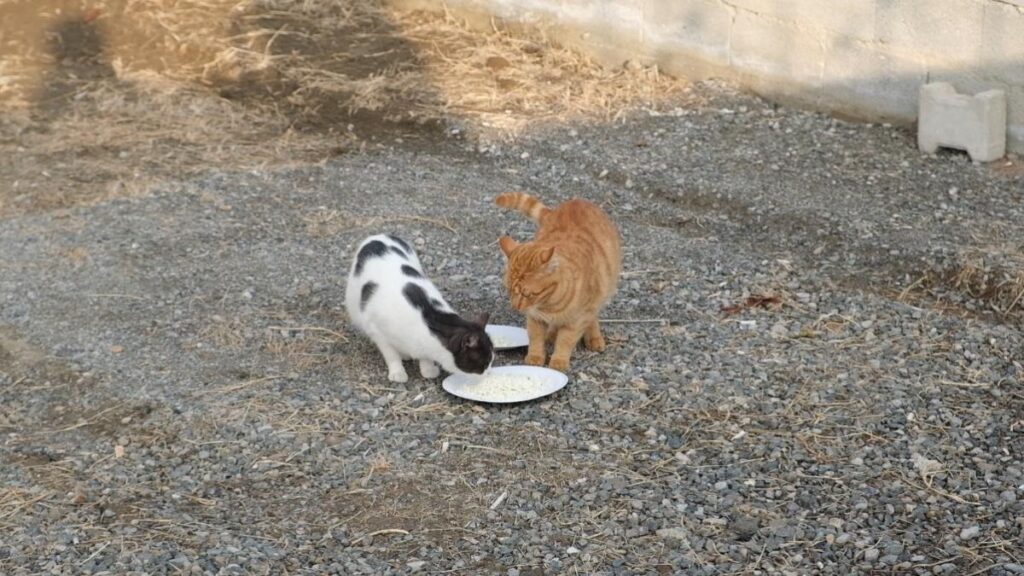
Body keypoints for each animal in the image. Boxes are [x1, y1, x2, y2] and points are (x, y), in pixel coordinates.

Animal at [342, 233, 493, 381]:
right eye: (485, 364)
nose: (489, 373)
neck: (428, 319)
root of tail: (378, 235)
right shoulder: (377, 331)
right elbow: (391, 355)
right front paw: (398, 372)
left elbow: (424, 358)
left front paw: (428, 369)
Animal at [493, 190, 618, 368]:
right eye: (509, 290)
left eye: (526, 293)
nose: (515, 307)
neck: (549, 304)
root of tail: (576, 201)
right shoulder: (535, 318)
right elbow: (536, 338)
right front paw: (535, 357)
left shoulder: (576, 320)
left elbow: (565, 341)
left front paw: (559, 361)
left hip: (600, 293)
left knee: (592, 317)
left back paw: (594, 338)